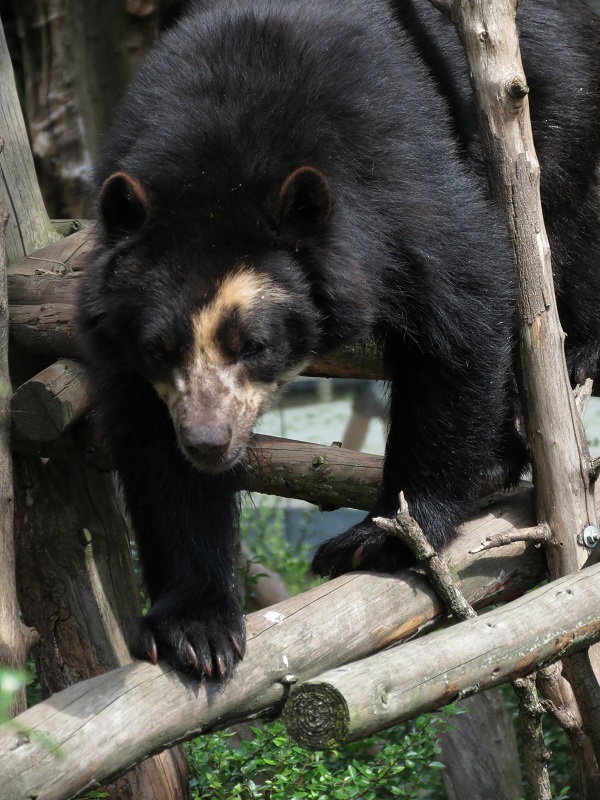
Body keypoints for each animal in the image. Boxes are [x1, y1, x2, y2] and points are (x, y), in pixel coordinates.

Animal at [79, 0, 600, 680]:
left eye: (254, 345)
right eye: (159, 349)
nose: (207, 441)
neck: (221, 156)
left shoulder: (397, 173)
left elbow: (464, 304)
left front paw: (378, 539)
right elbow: (151, 448)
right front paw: (195, 631)